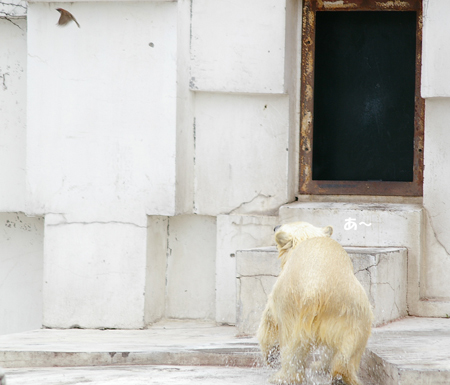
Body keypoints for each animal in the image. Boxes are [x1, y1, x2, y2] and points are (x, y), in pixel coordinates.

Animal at [256, 219, 372, 384]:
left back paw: (282, 377)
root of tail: (315, 293)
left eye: (284, 226)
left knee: (291, 345)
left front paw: (270, 357)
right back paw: (338, 375)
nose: (275, 227)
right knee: (347, 349)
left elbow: (269, 321)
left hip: (293, 308)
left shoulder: (279, 293)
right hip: (352, 314)